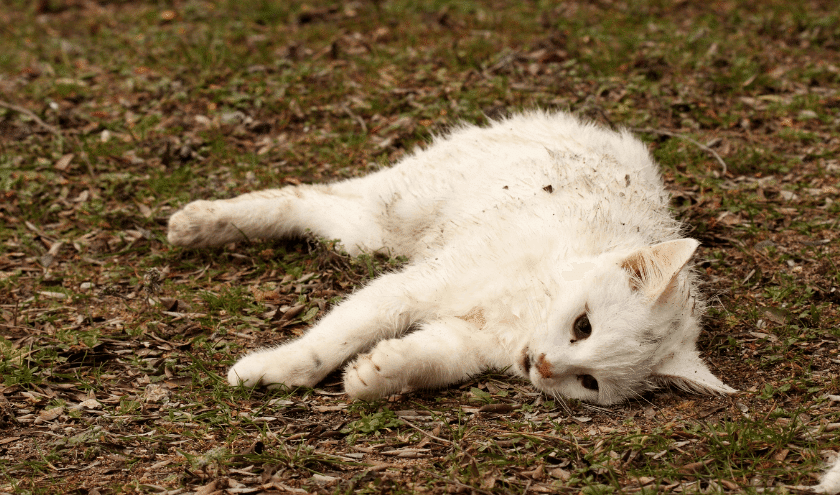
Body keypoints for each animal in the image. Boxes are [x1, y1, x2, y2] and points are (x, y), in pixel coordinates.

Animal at [167, 112, 732, 406]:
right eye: (583, 326)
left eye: (589, 382)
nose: (544, 367)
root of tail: (592, 127)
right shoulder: (415, 285)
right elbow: (329, 341)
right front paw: (270, 372)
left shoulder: (465, 341)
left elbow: (429, 360)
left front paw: (376, 375)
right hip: (386, 222)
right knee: (305, 196)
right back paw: (197, 223)